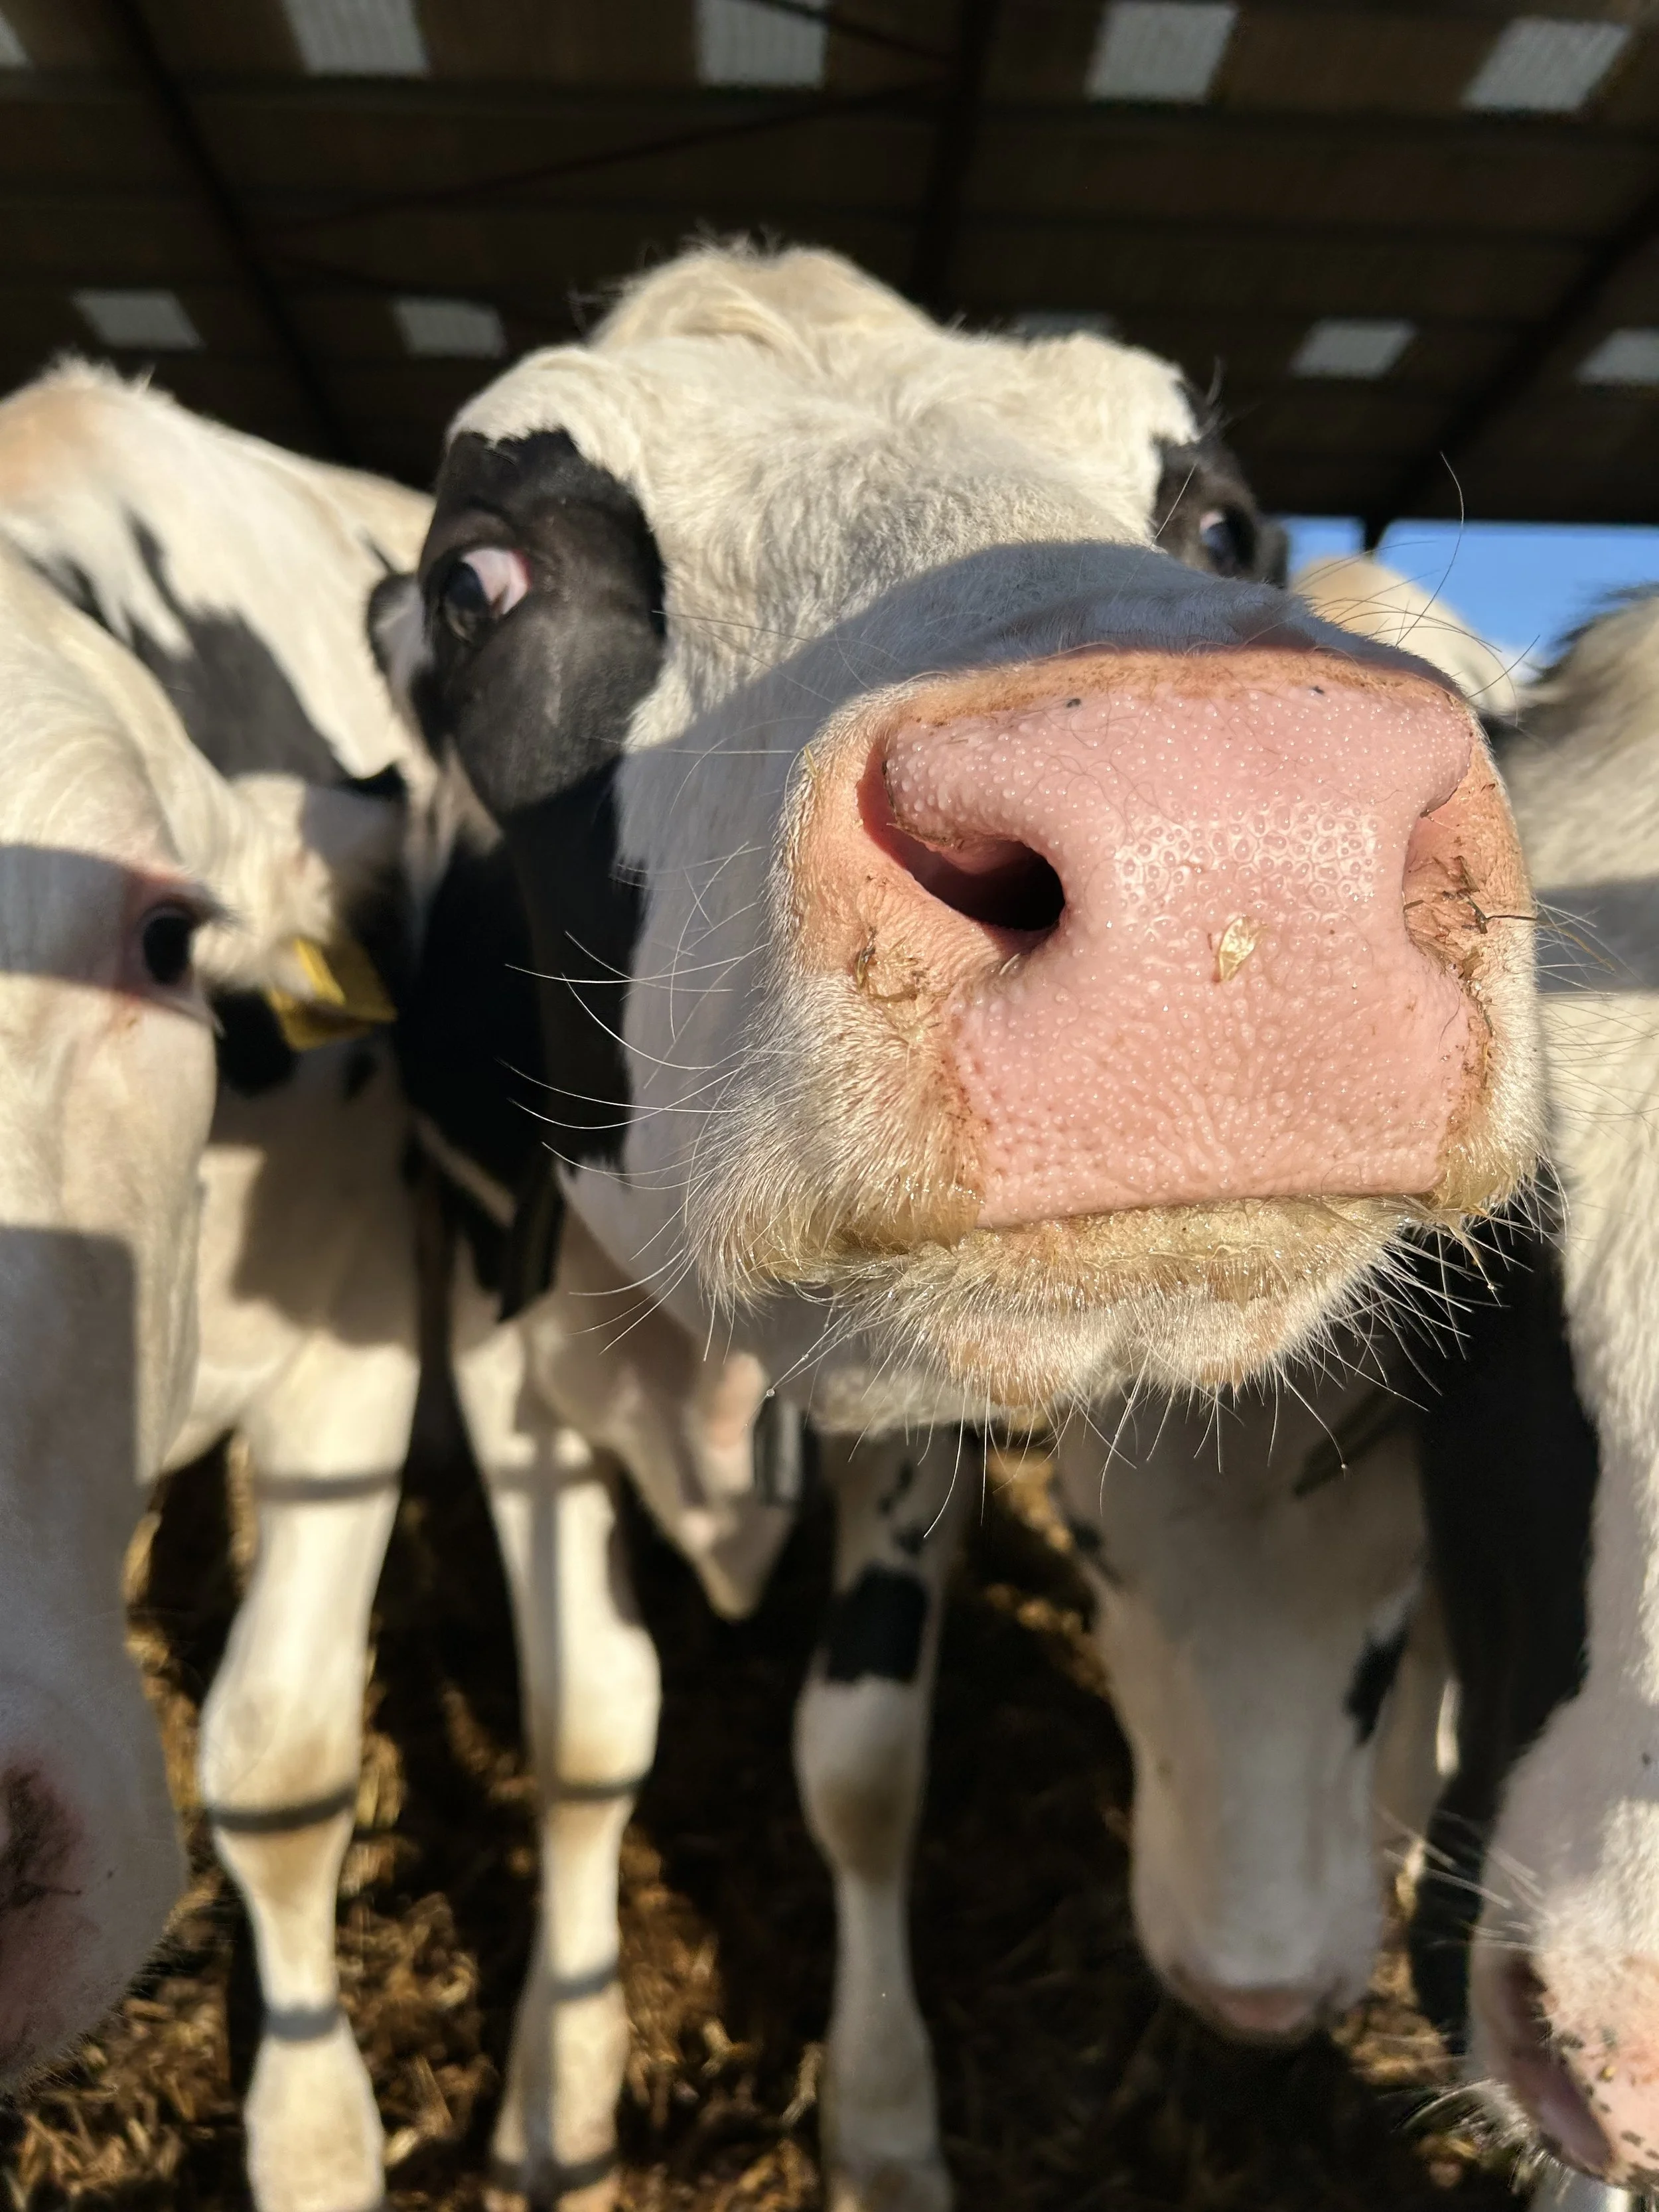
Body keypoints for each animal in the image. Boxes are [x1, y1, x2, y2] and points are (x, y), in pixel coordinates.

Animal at [382, 240, 1540, 2209]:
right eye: (479, 580)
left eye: (1218, 522)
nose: (1233, 829)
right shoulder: (492, 1325)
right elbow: (587, 1729)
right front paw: (557, 2098)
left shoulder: (915, 1422)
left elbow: (860, 1762)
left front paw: (882, 2119)